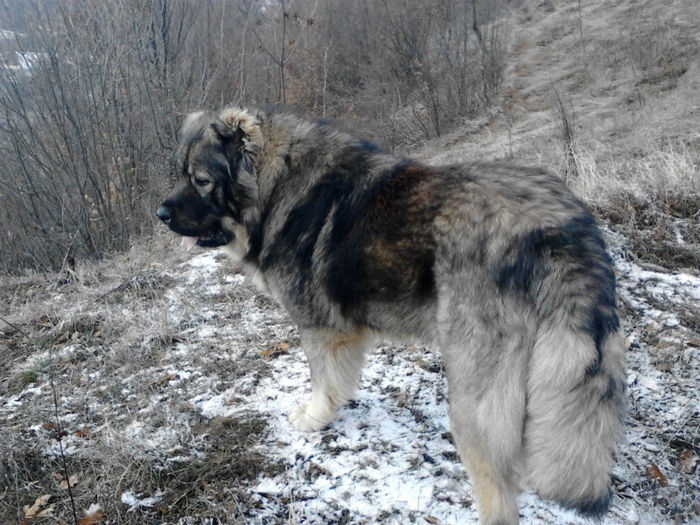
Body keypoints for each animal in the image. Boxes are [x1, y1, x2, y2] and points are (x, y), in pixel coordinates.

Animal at [157, 106, 624, 524]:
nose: (161, 214)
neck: (276, 188)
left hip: (474, 390)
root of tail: (559, 232)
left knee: (497, 487)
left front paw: (312, 418)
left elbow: (323, 381)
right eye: (179, 173)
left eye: (201, 180)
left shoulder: (321, 328)